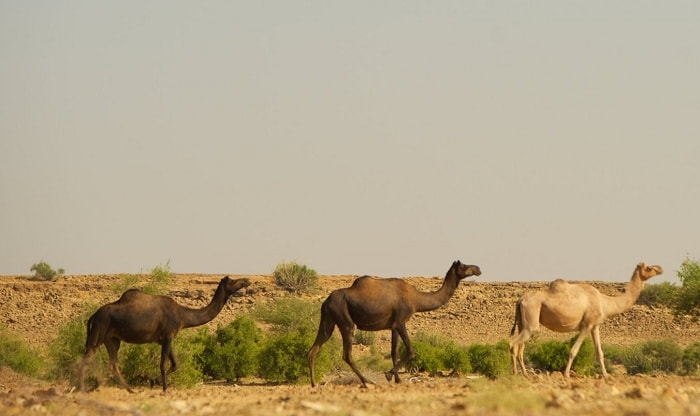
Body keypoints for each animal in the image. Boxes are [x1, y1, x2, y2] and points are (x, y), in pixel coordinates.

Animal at [78, 274, 252, 392]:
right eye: (232, 281)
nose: (246, 280)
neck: (183, 316)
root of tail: (93, 316)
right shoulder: (168, 336)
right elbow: (163, 364)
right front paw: (164, 388)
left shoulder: (167, 338)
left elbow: (175, 364)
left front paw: (154, 382)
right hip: (98, 333)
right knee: (86, 358)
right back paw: (81, 388)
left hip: (112, 339)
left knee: (113, 363)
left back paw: (130, 390)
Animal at [306, 260, 482, 386]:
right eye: (464, 265)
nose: (478, 269)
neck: (416, 299)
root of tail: (326, 301)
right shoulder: (400, 321)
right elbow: (410, 351)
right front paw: (389, 374)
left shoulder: (393, 326)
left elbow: (394, 352)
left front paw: (397, 379)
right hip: (345, 320)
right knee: (347, 354)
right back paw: (368, 382)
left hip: (328, 320)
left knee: (314, 349)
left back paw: (314, 384)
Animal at [508, 262, 660, 378]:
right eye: (649, 268)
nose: (660, 269)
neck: (605, 302)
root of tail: (521, 299)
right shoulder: (587, 325)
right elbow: (573, 351)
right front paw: (566, 374)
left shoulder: (595, 326)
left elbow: (600, 353)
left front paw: (606, 376)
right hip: (531, 319)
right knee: (513, 344)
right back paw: (515, 373)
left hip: (523, 323)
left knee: (520, 348)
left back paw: (525, 374)